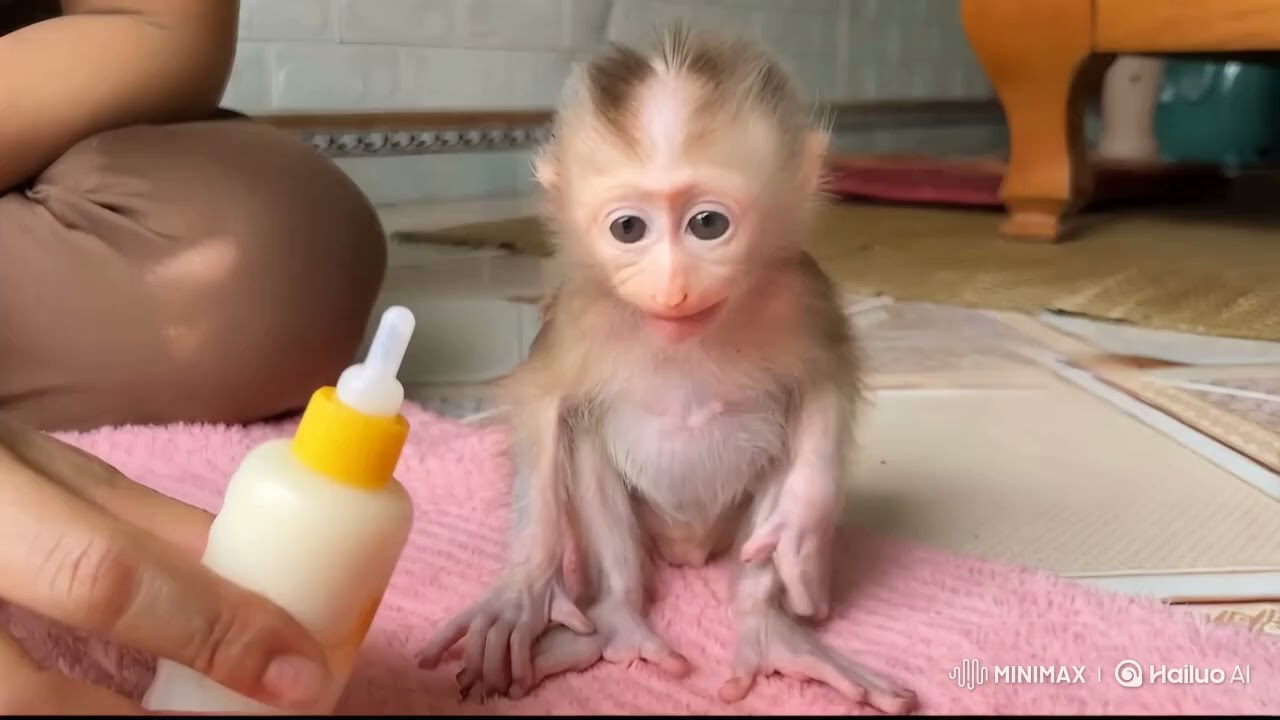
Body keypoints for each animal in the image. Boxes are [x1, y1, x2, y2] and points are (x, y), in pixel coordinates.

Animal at [416, 25, 917, 715]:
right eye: (630, 228)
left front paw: (802, 526)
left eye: (708, 224)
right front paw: (521, 590)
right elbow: (544, 409)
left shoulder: (801, 291)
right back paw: (616, 621)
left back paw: (766, 626)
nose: (673, 287)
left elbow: (825, 385)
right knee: (587, 449)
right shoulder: (579, 312)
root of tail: (689, 552)